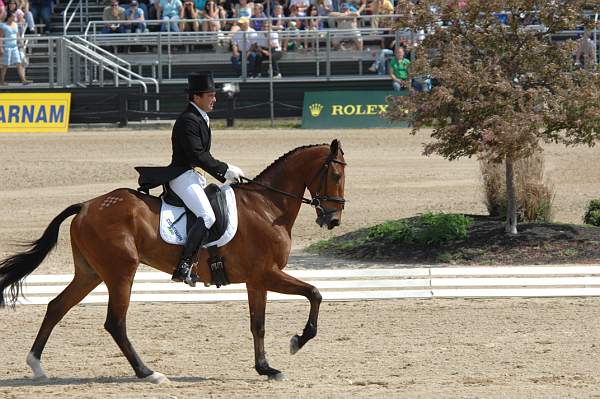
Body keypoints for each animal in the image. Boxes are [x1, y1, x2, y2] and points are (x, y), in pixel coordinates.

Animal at [0, 140, 346, 384]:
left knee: (57, 306)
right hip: (121, 272)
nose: (333, 220)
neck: (267, 206)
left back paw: (36, 365)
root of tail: (86, 205)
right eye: (336, 174)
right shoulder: (267, 274)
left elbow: (257, 324)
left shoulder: (256, 280)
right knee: (115, 322)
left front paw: (266, 368)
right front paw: (297, 341)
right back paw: (148, 373)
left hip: (90, 273)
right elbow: (315, 293)